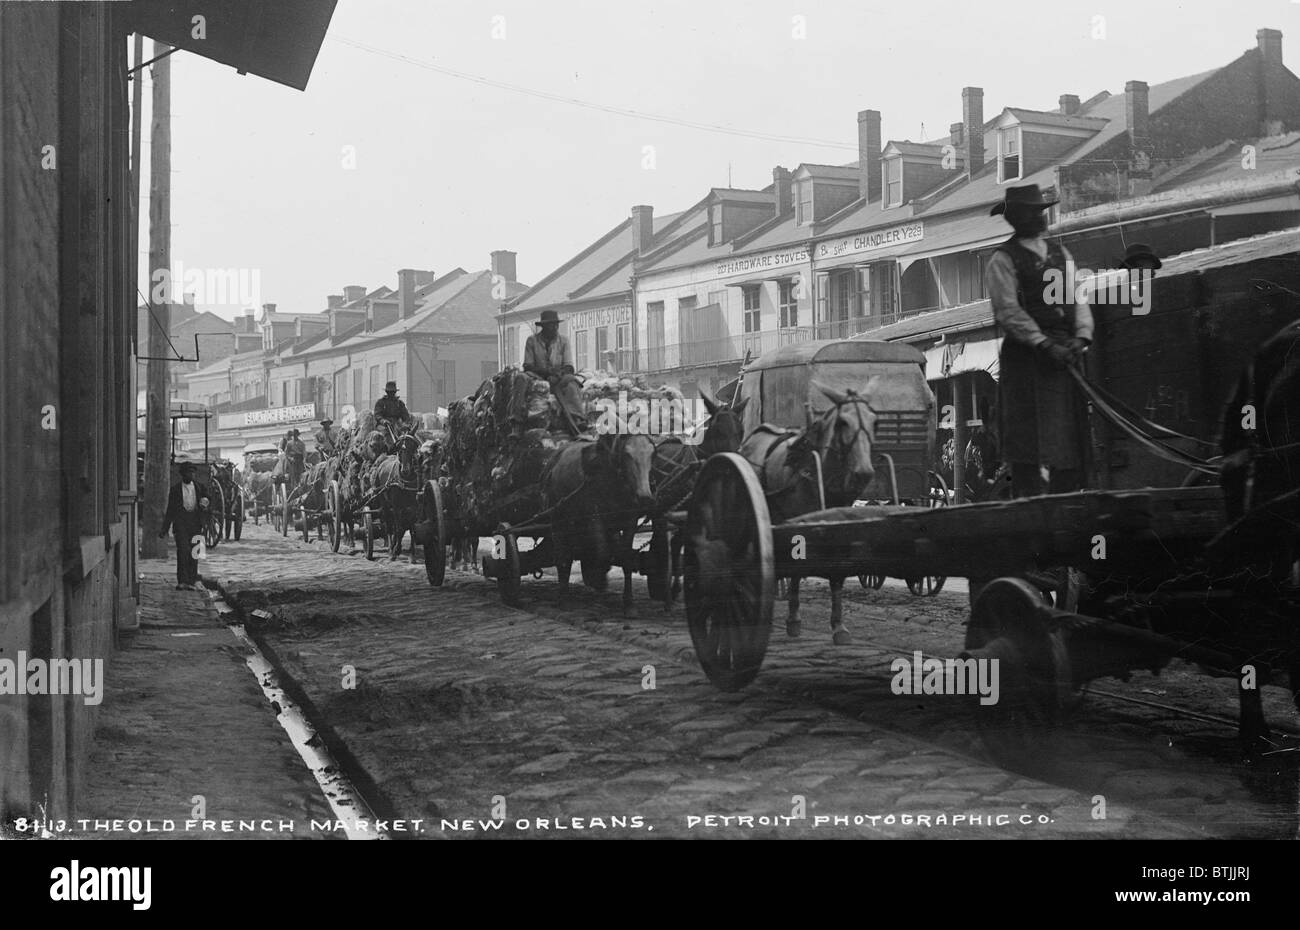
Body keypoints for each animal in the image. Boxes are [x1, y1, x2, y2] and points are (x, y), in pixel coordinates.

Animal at [738, 382, 878, 645]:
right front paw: (793, 620)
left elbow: (837, 574)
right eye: (842, 422)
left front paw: (839, 626)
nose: (863, 472)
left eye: (875, 421)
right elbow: (796, 567)